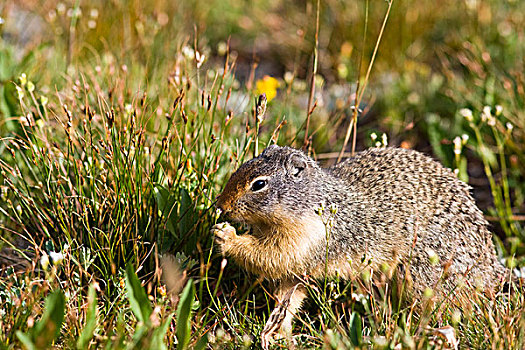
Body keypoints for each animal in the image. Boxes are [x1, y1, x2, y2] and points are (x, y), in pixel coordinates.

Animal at [212, 145, 508, 344]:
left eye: (259, 184)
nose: (220, 205)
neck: (312, 202)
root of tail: (493, 271)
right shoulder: (296, 272)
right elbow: (288, 299)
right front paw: (277, 333)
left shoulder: (302, 242)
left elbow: (269, 255)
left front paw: (226, 236)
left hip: (423, 276)